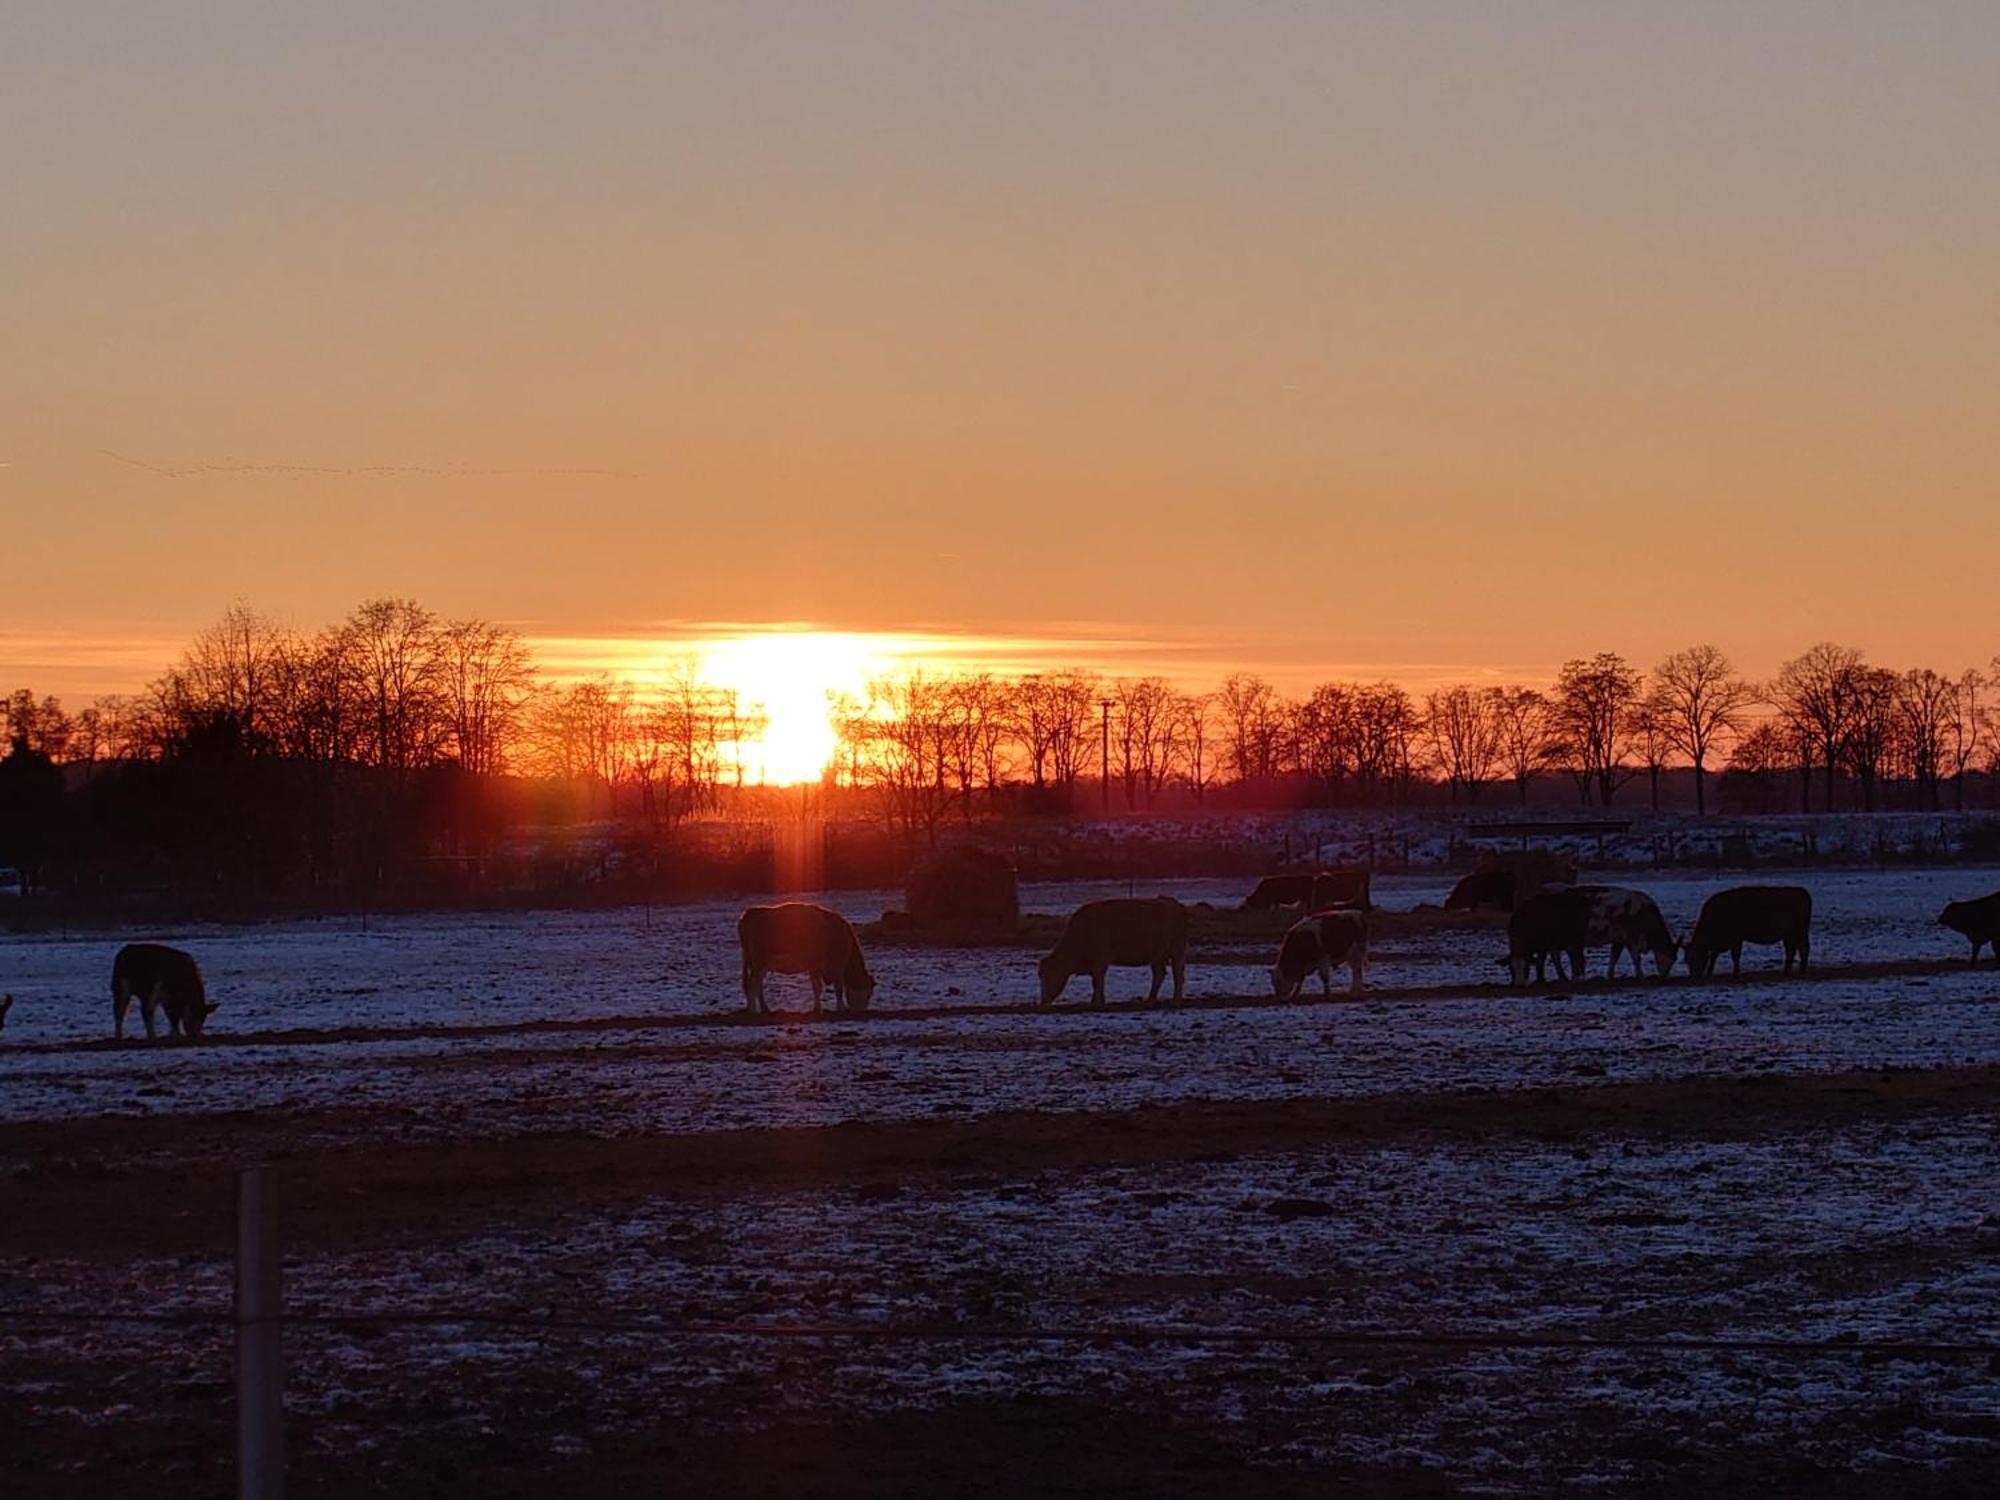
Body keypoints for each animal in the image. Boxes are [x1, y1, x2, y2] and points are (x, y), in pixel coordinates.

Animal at [736, 904, 876, 1024]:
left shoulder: (815, 968)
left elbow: (817, 987)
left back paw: (764, 1009)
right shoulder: (834, 966)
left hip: (759, 964)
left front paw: (817, 1009)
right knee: (752, 984)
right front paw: (837, 1009)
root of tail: (749, 913)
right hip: (758, 961)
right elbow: (834, 988)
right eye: (868, 994)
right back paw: (752, 1010)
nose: (860, 1013)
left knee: (757, 984)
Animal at [1032, 900, 1184, 1004]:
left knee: (1177, 974)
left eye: (1049, 975)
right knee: (1159, 974)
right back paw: (1150, 999)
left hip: (1177, 951)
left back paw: (1176, 998)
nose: (1043, 1000)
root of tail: (1176, 905)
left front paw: (1096, 1001)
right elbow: (1096, 981)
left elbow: (1097, 980)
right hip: (1157, 956)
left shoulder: (1101, 960)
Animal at [1688, 888, 1816, 980]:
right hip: (1789, 936)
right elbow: (1715, 956)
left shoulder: (1736, 940)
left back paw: (1802, 972)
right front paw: (1710, 973)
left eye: (1696, 956)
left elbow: (1735, 956)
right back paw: (1786, 972)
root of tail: (1802, 891)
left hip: (1800, 933)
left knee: (1803, 949)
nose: (1694, 976)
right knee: (1792, 950)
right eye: (1687, 959)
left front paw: (1735, 974)